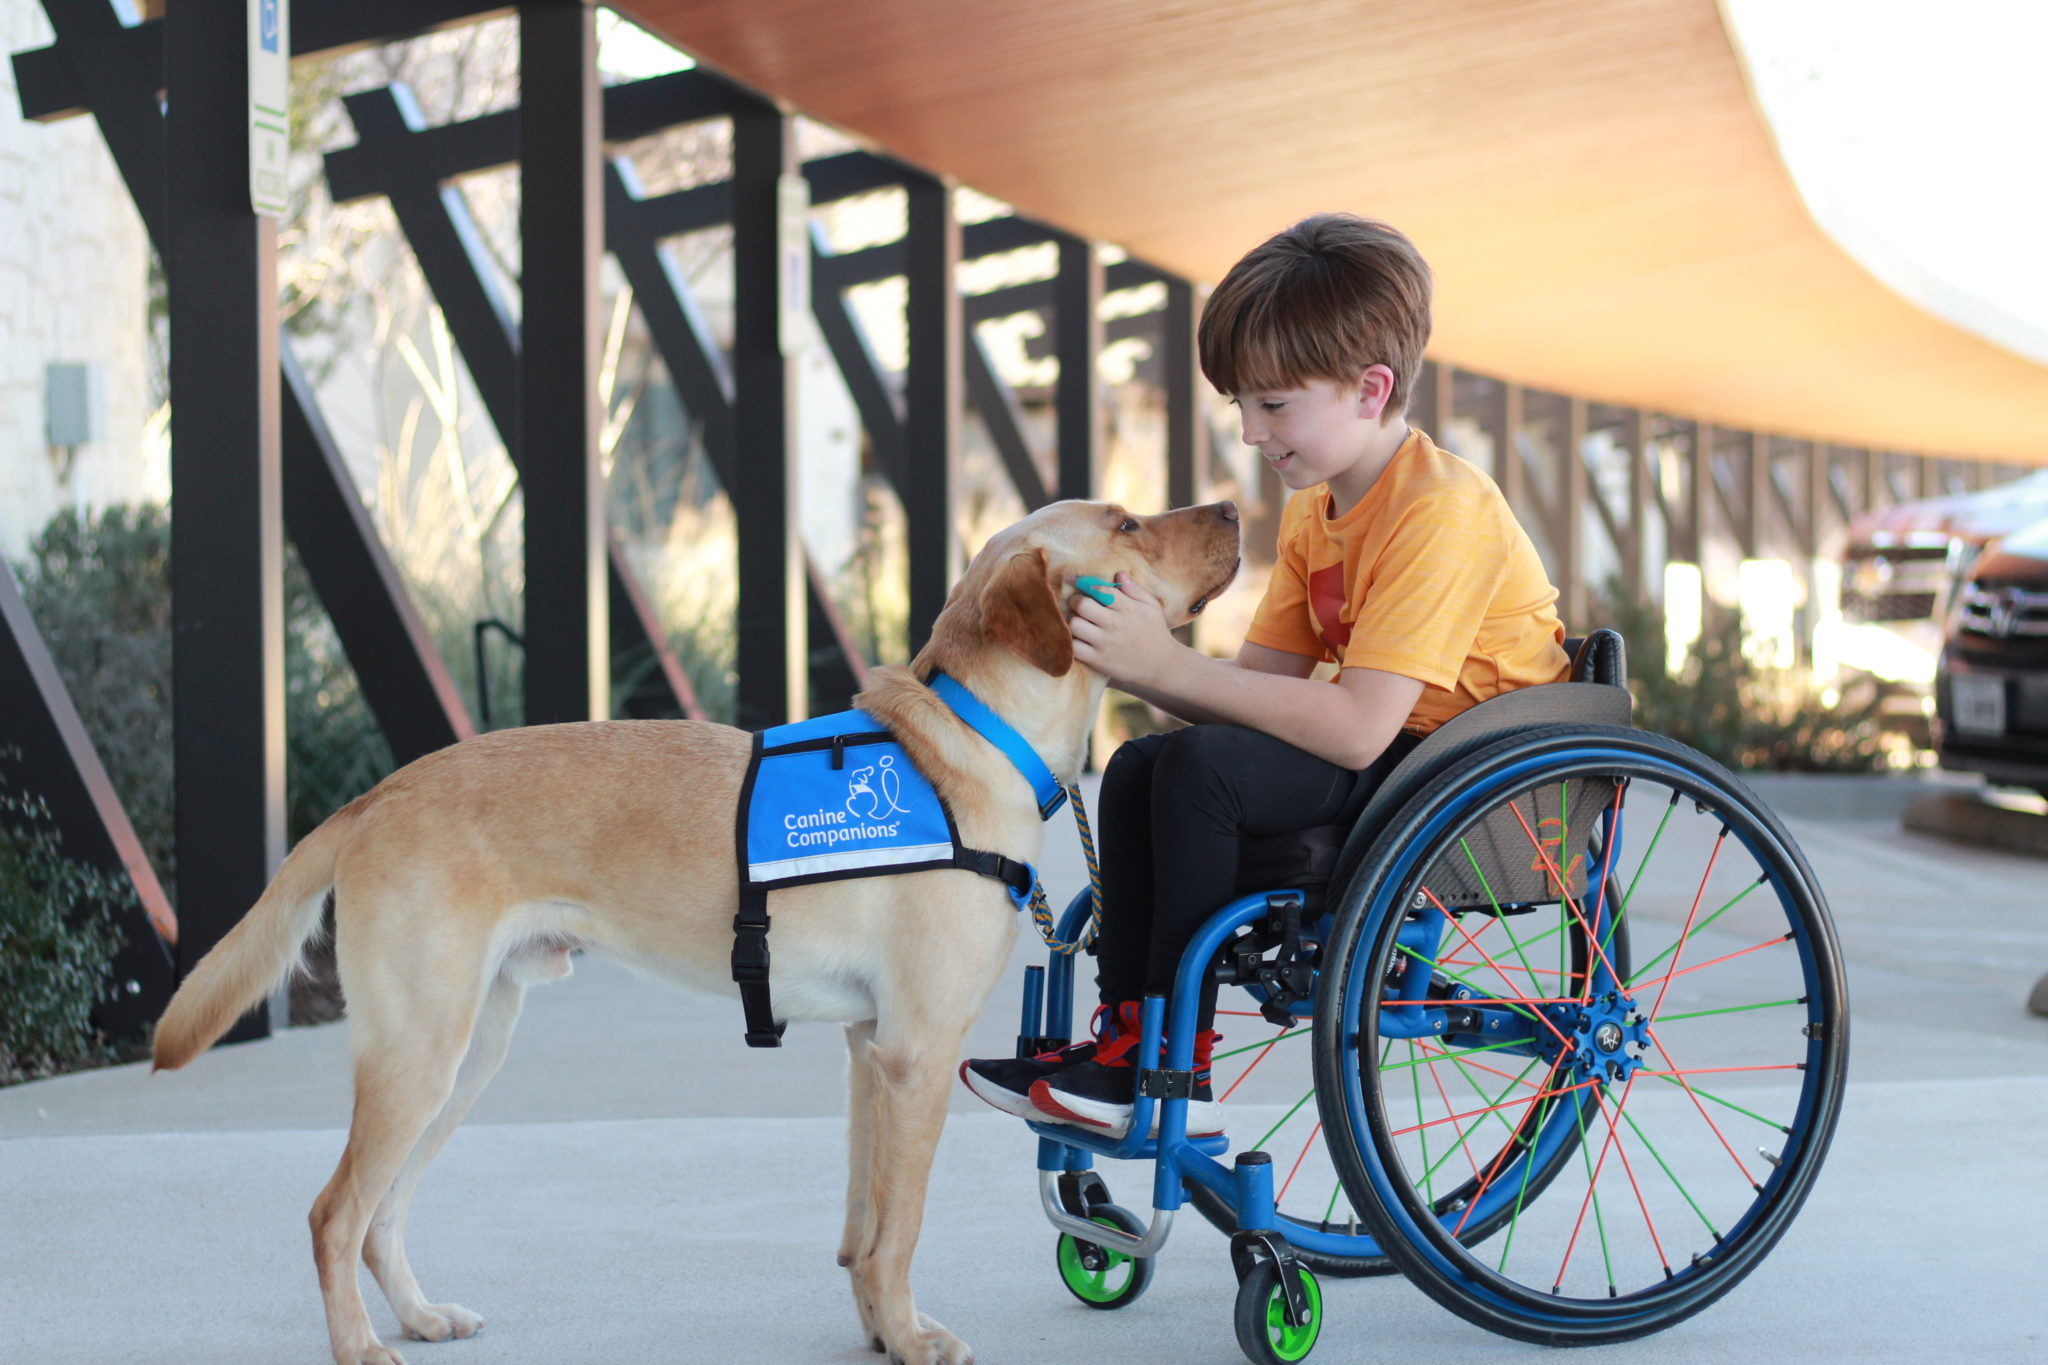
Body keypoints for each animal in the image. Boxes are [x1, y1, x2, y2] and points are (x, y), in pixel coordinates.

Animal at [151, 497, 1236, 1365]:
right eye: (1126, 524)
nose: (1232, 505)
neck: (973, 741)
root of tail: (373, 795)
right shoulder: (917, 1056)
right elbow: (902, 1228)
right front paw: (912, 1337)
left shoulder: (867, 1050)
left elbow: (863, 1228)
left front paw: (879, 1334)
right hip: (422, 1051)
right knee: (335, 1212)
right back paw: (362, 1347)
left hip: (464, 1054)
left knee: (383, 1213)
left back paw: (416, 1318)